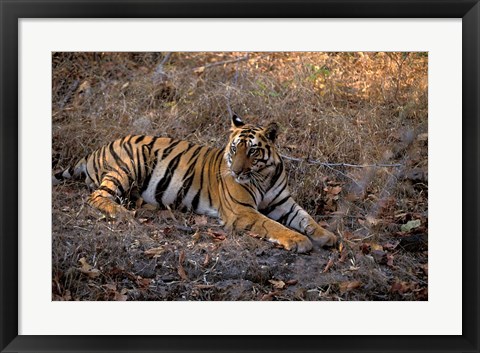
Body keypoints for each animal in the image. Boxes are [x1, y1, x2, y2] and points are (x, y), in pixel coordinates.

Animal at [52, 115, 336, 253]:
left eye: (253, 151)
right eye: (235, 149)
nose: (236, 170)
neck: (263, 175)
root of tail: (96, 150)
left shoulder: (284, 203)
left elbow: (307, 218)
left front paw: (327, 236)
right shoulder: (242, 211)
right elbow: (273, 226)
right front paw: (299, 241)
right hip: (130, 164)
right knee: (97, 196)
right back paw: (121, 213)